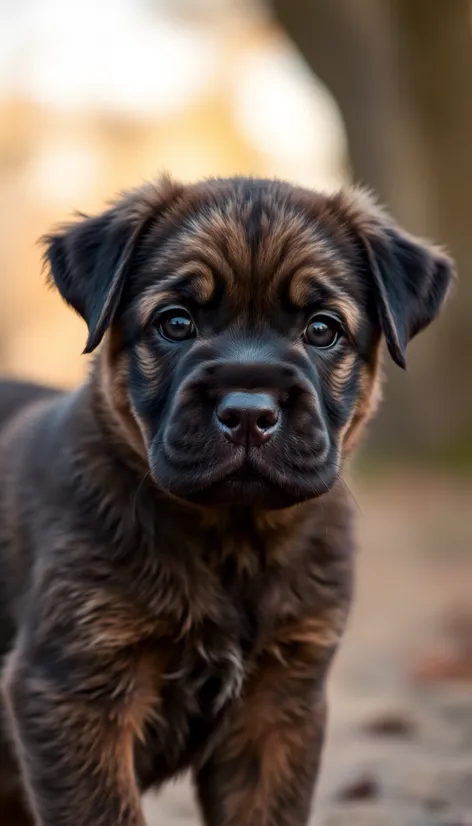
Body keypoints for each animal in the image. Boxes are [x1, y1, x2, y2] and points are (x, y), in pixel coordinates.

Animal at [0, 175, 454, 824]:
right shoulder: (71, 687)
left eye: (322, 329)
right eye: (176, 323)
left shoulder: (279, 705)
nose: (247, 412)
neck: (231, 541)